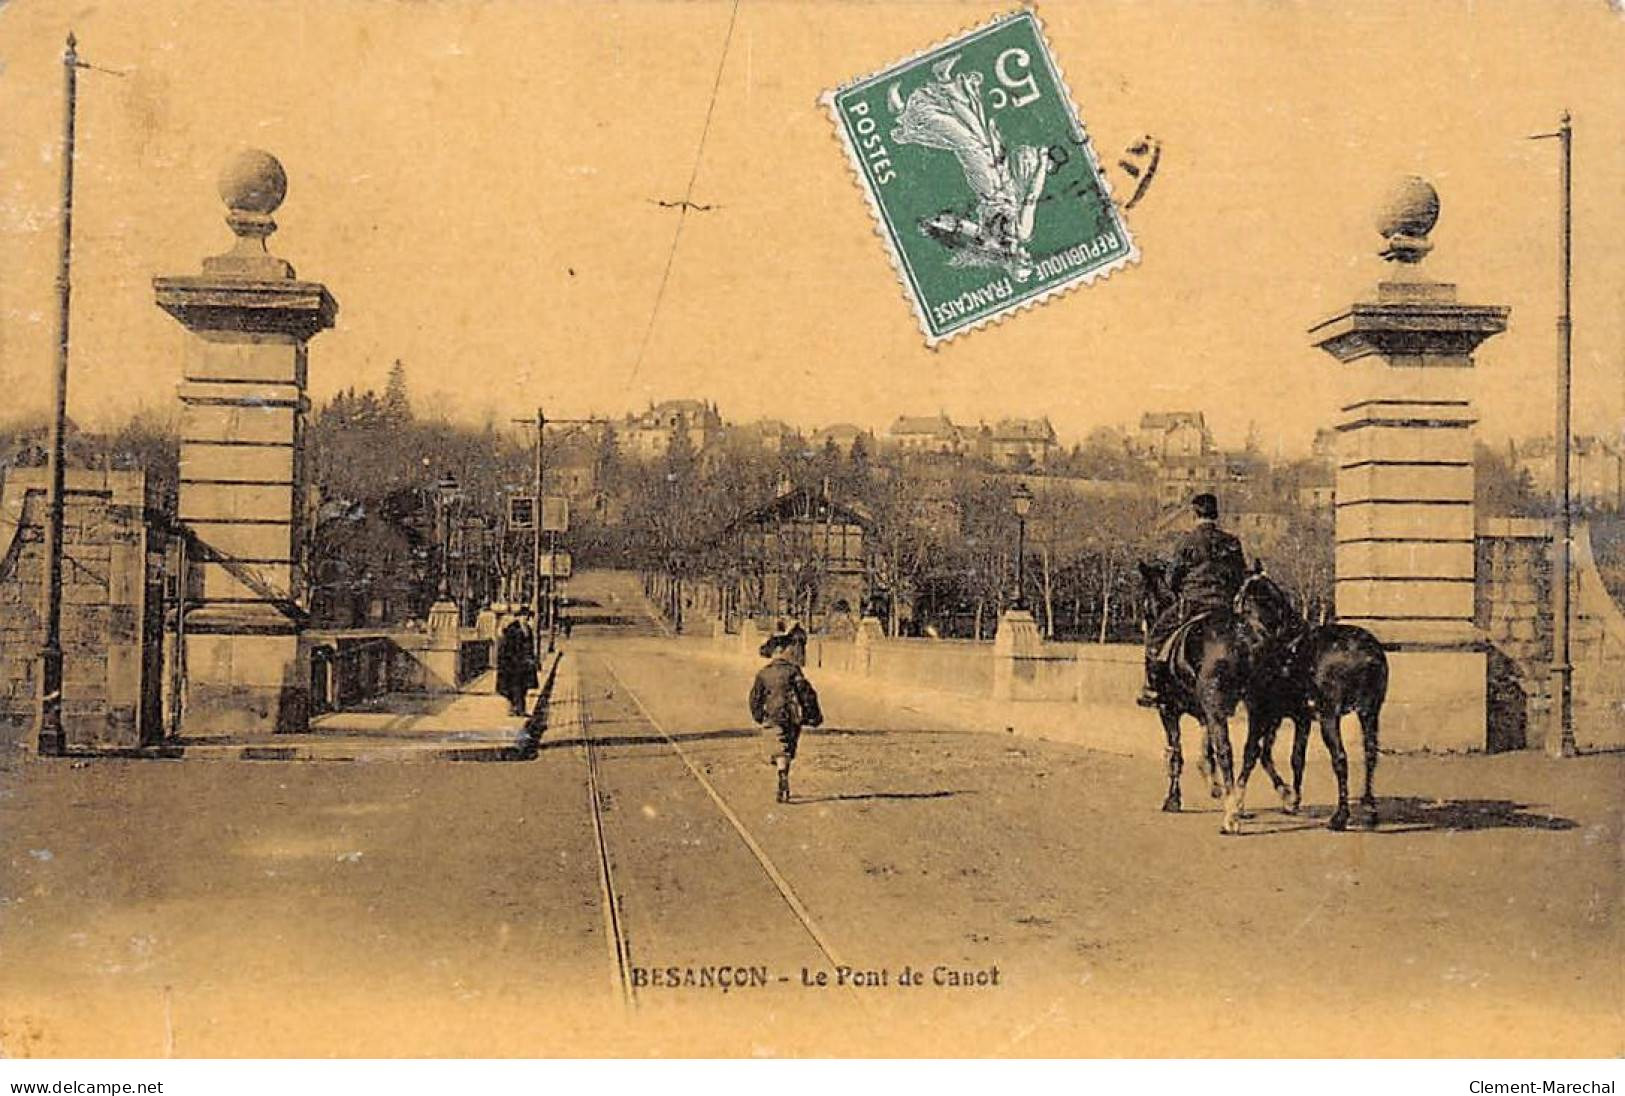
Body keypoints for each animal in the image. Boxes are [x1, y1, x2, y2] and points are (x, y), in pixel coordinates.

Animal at [1131, 559, 1254, 832]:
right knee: (1252, 750)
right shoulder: (1204, 713)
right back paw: (1237, 803)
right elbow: (1205, 752)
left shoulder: (1168, 709)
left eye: (1144, 598)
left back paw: (1231, 816)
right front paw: (1216, 786)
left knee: (1226, 751)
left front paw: (1173, 799)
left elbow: (1176, 753)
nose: (1144, 626)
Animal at [1235, 562, 1391, 829]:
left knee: (1340, 758)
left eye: (1244, 596)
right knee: (1370, 754)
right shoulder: (1299, 718)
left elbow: (1256, 754)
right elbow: (1294, 758)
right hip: (1369, 713)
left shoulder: (1262, 713)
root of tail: (1368, 654)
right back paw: (1369, 807)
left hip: (1330, 717)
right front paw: (1293, 799)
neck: (1283, 642)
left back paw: (1340, 816)